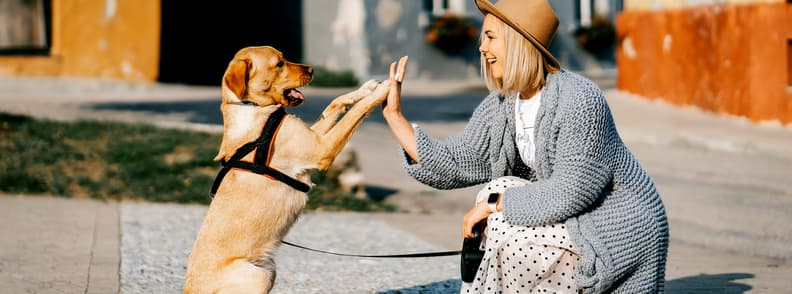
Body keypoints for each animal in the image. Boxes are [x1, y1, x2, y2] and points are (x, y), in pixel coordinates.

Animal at [180, 44, 390, 292]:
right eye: (279, 64)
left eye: (284, 57)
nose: (312, 69)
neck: (252, 109)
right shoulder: (322, 149)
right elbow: (357, 112)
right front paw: (385, 89)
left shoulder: (314, 137)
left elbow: (336, 102)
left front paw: (366, 88)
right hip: (259, 275)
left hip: (270, 270)